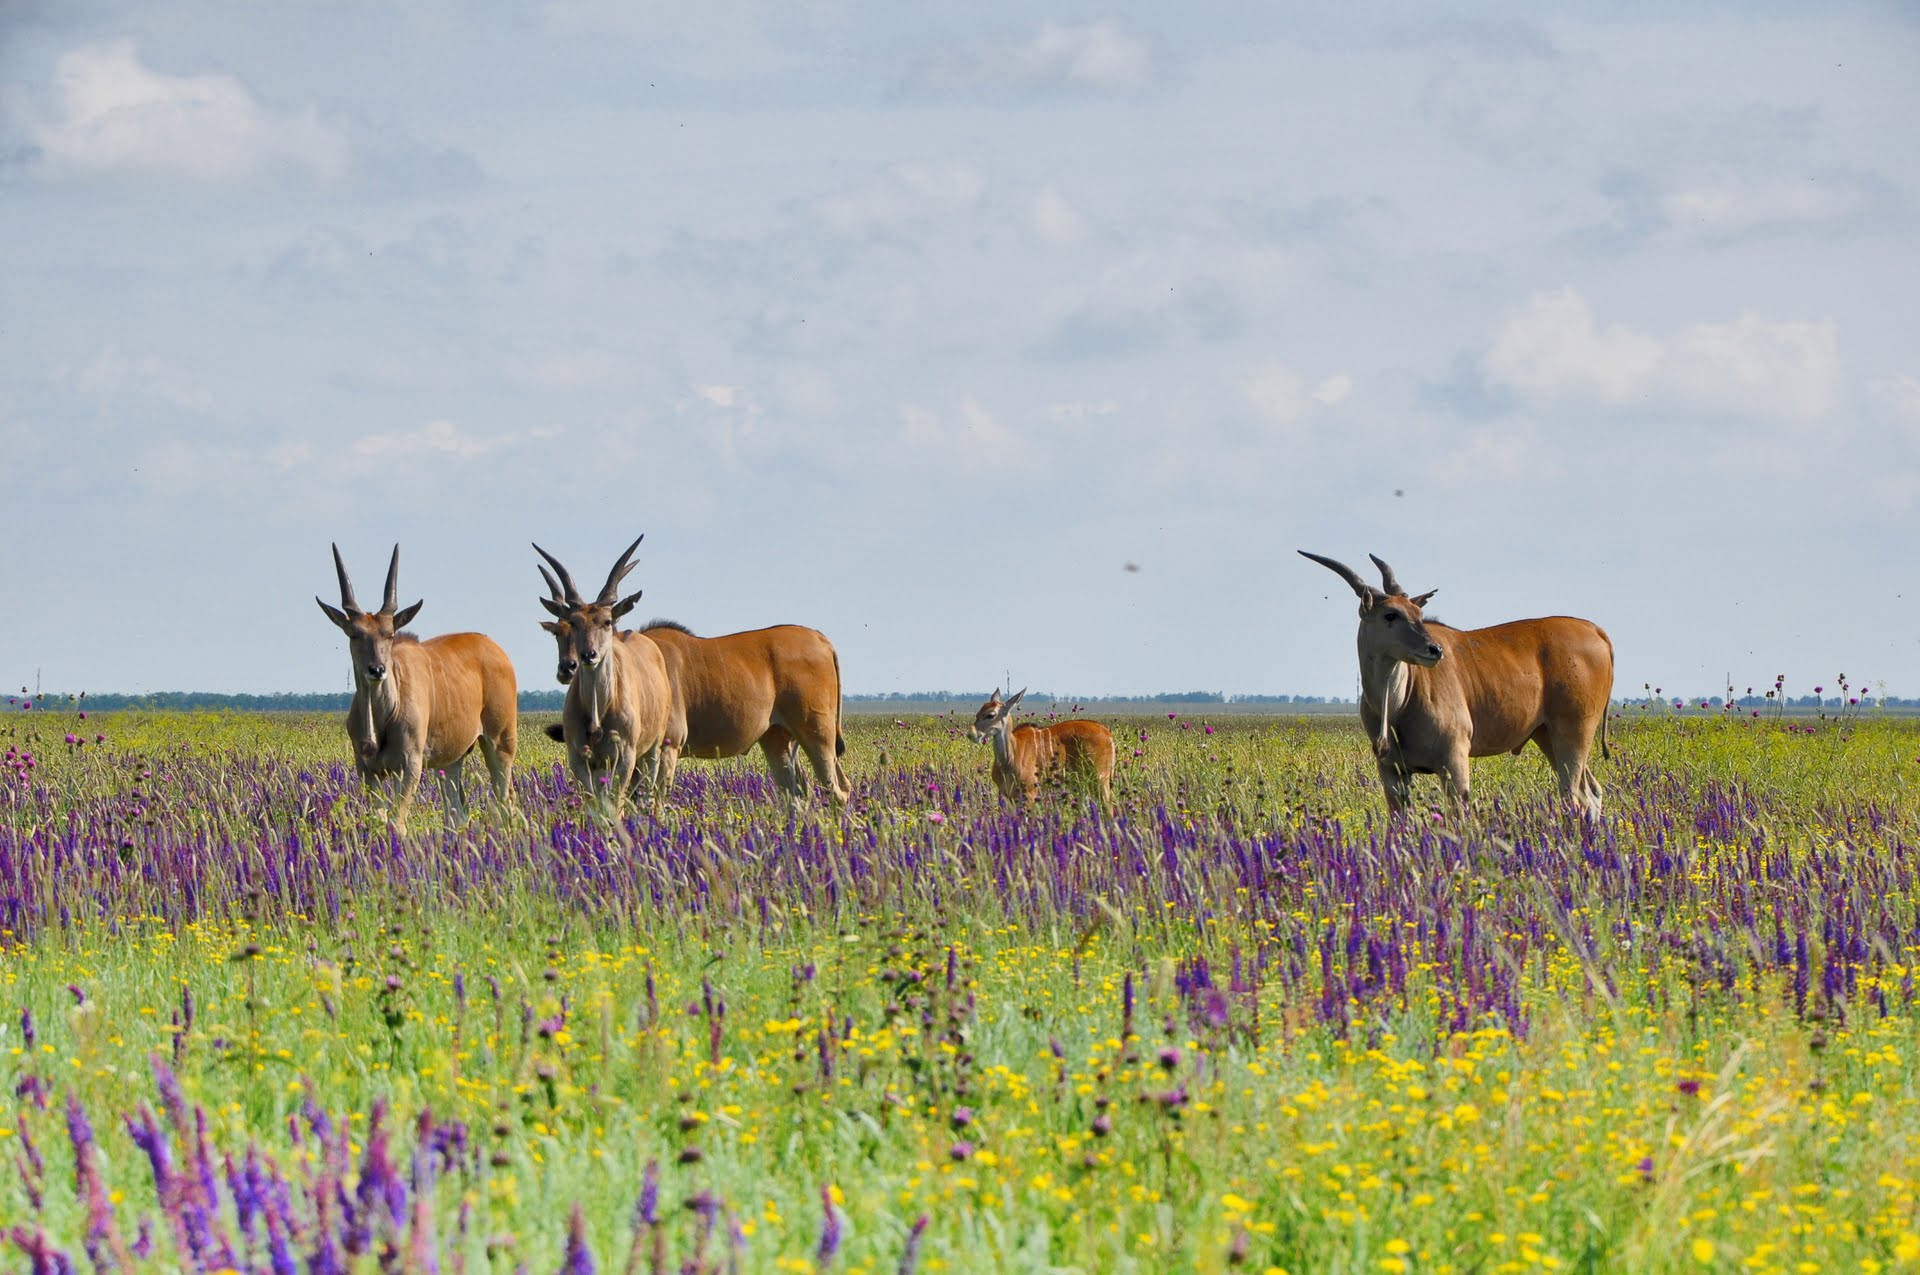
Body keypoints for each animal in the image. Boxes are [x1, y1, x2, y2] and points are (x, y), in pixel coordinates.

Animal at [311, 541, 518, 821]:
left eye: (389, 634)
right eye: (354, 634)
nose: (377, 669)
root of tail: (497, 649)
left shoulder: (409, 766)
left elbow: (397, 821)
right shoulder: (368, 770)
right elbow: (381, 819)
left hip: (500, 744)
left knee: (505, 802)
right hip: (450, 761)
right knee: (458, 812)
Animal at [533, 537, 675, 817]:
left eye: (607, 621)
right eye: (573, 622)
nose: (588, 655)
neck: (598, 714)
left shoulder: (624, 757)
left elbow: (616, 806)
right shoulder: (580, 759)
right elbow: (596, 808)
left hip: (653, 748)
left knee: (649, 790)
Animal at [533, 579, 848, 806]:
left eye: (605, 624)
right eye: (559, 632)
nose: (570, 666)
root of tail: (821, 638)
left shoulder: (663, 747)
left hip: (818, 734)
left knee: (838, 789)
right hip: (778, 738)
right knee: (798, 793)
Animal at [967, 687, 1121, 806]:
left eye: (991, 714)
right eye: (977, 713)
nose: (971, 734)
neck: (1010, 758)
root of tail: (1107, 733)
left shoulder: (1030, 793)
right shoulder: (1009, 796)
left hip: (1100, 779)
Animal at [1297, 549, 1612, 817]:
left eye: (1419, 615)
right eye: (1391, 614)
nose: (1434, 650)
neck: (1396, 706)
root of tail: (1594, 629)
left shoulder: (1454, 762)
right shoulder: (1392, 771)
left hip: (1574, 733)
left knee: (1573, 795)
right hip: (1546, 735)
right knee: (1590, 792)